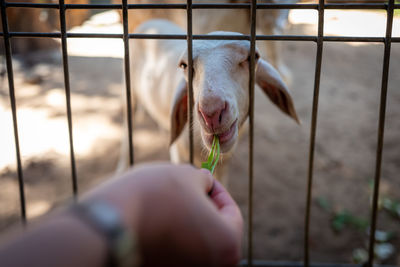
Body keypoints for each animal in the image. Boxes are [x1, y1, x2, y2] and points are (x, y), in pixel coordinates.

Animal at [117, 19, 298, 185]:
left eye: (253, 57)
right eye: (184, 65)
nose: (211, 112)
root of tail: (149, 22)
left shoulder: (223, 163)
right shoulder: (180, 154)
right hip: (129, 93)